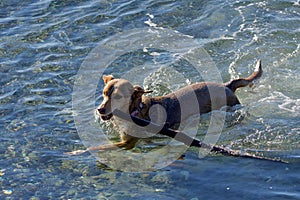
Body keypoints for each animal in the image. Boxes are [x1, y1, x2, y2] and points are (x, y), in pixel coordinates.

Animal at [68, 59, 262, 155]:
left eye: (118, 97)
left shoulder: (128, 143)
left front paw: (76, 151)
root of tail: (227, 85)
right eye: (104, 93)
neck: (135, 112)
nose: (100, 110)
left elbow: (98, 147)